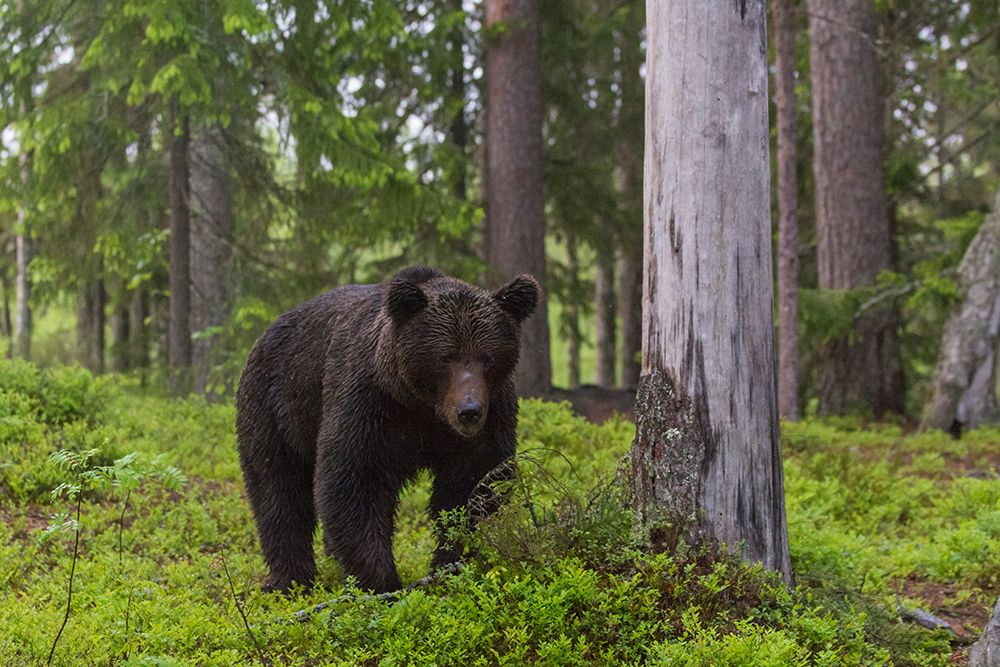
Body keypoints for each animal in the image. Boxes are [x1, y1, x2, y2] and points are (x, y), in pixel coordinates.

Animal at [235, 266, 540, 593]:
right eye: (446, 357)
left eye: (487, 357)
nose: (469, 411)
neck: (422, 406)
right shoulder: (368, 404)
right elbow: (355, 481)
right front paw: (383, 584)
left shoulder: (490, 416)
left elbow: (474, 485)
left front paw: (453, 563)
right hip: (275, 408)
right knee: (278, 491)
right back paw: (290, 580)